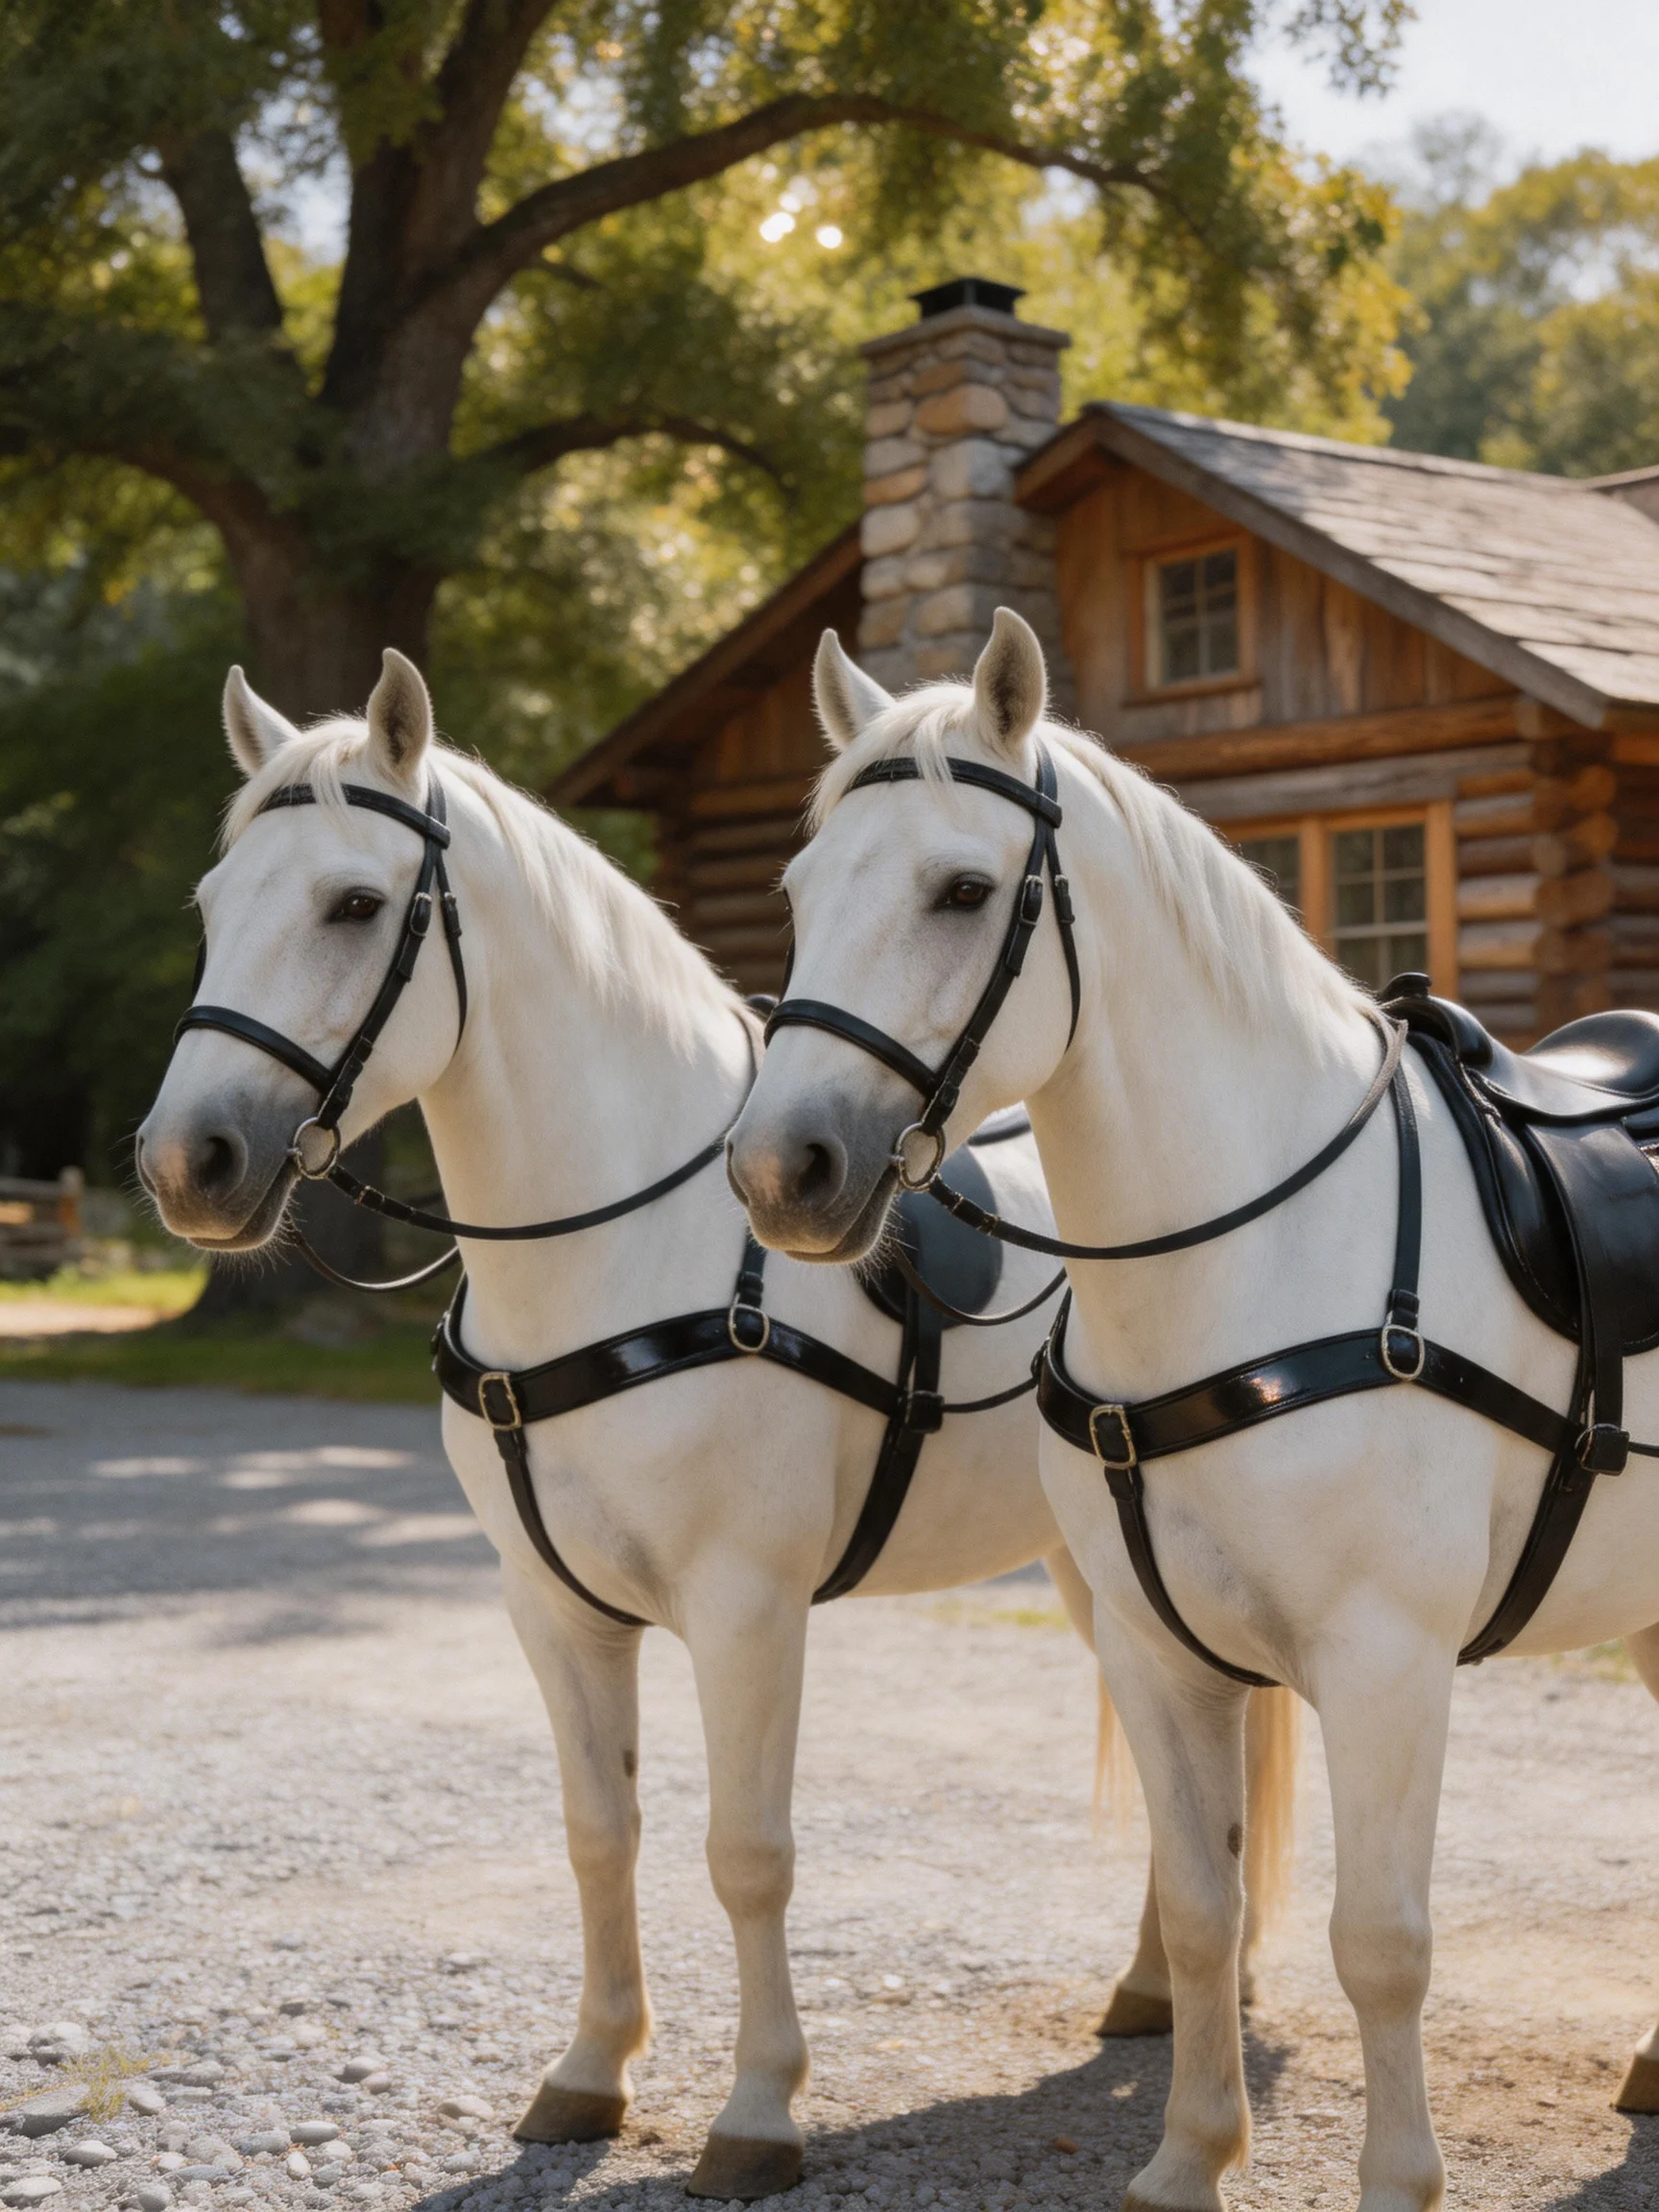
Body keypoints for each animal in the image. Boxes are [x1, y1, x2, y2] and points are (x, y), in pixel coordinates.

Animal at [134, 648, 1297, 2203]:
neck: (621, 1253)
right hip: (1092, 1573)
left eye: (354, 905)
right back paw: (1162, 1993)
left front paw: (756, 2112)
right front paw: (589, 2071)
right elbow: (598, 1834)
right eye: (214, 908)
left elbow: (745, 1853)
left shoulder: (747, 1608)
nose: (184, 1163)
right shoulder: (551, 1608)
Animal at [726, 607, 1659, 2212]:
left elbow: (1380, 1946)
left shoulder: (1386, 1663)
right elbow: (1207, 1909)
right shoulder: (1159, 1658)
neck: (1256, 1258)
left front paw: (1397, 2180)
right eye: (798, 891)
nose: (784, 1169)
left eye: (963, 888)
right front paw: (1190, 2156)